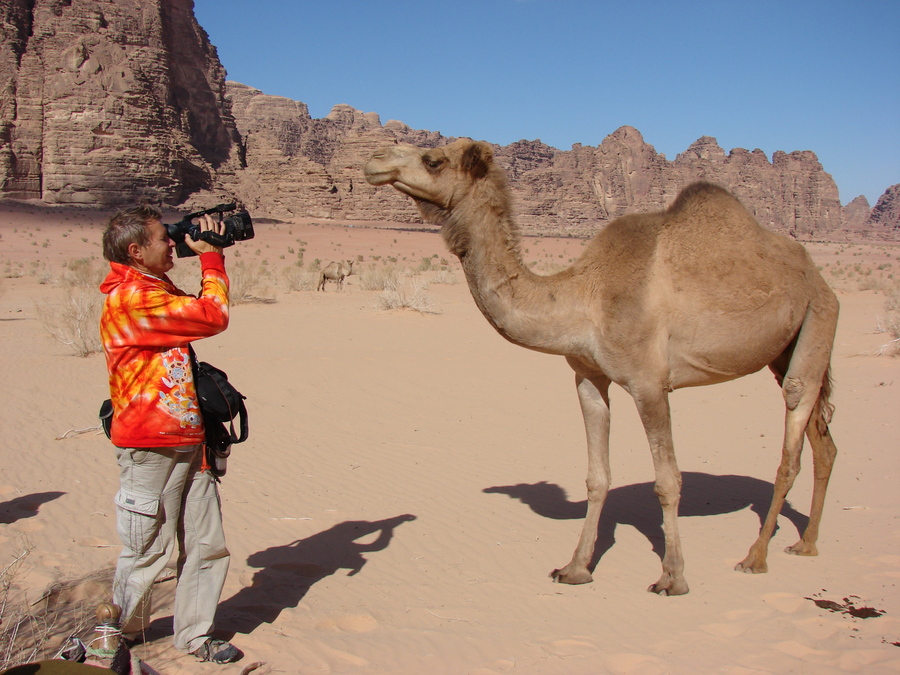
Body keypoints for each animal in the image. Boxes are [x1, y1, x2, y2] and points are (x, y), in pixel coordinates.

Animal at [362, 140, 840, 596]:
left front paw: (672, 578)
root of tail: (818, 276)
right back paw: (807, 543)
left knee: (793, 435)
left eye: (434, 159)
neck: (584, 297)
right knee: (824, 442)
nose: (374, 159)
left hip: (819, 315)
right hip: (785, 348)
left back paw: (756, 557)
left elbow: (668, 480)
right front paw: (575, 568)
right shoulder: (588, 378)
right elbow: (596, 476)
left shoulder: (649, 384)